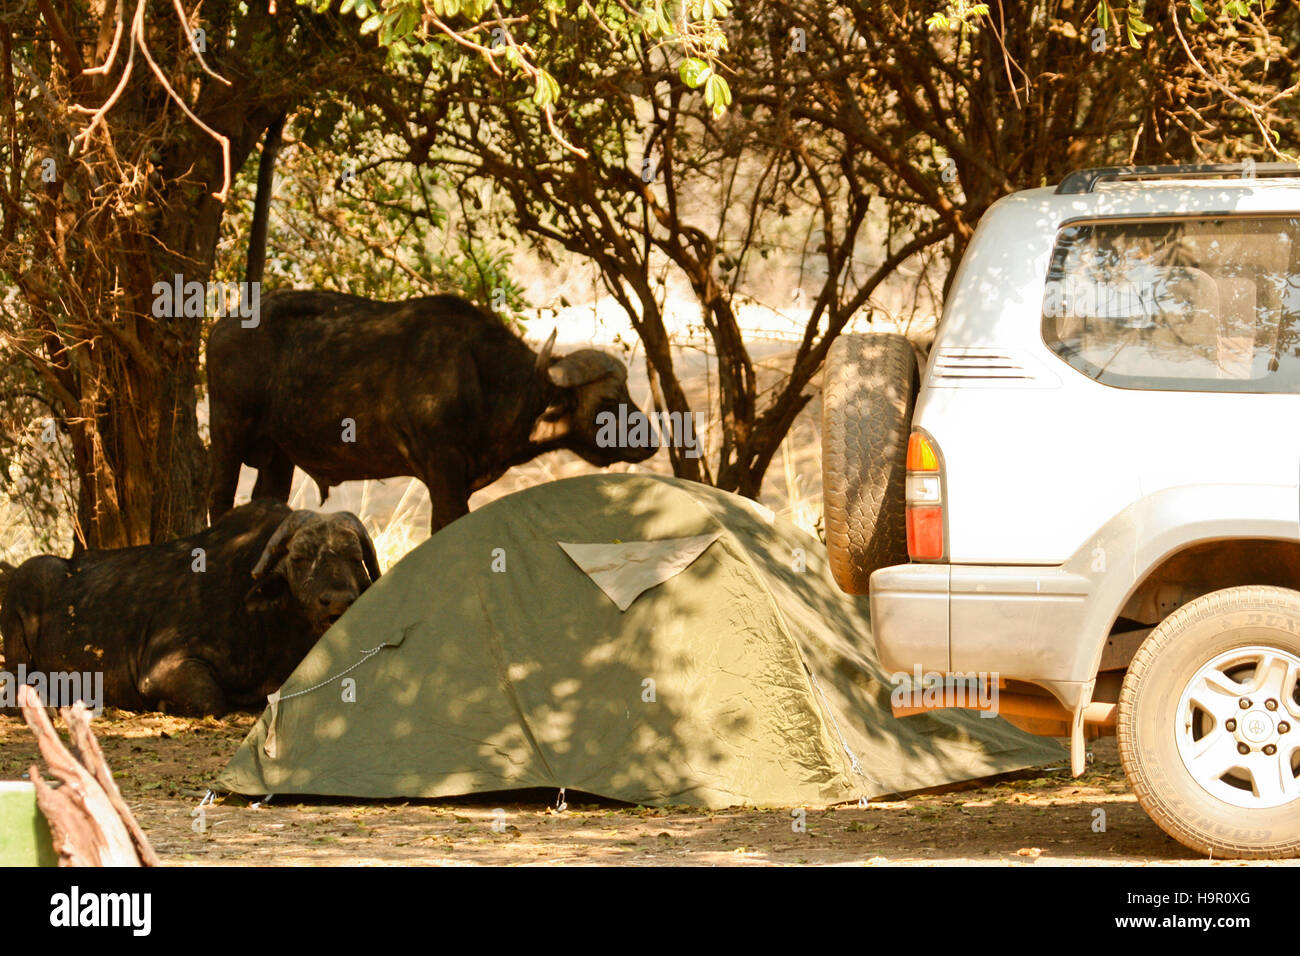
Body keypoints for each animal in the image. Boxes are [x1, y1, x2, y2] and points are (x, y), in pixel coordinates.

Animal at [210, 290, 660, 530]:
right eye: (607, 400)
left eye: (627, 392)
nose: (650, 443)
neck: (482, 381)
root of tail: (223, 326)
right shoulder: (443, 473)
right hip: (226, 436)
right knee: (219, 502)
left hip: (278, 457)